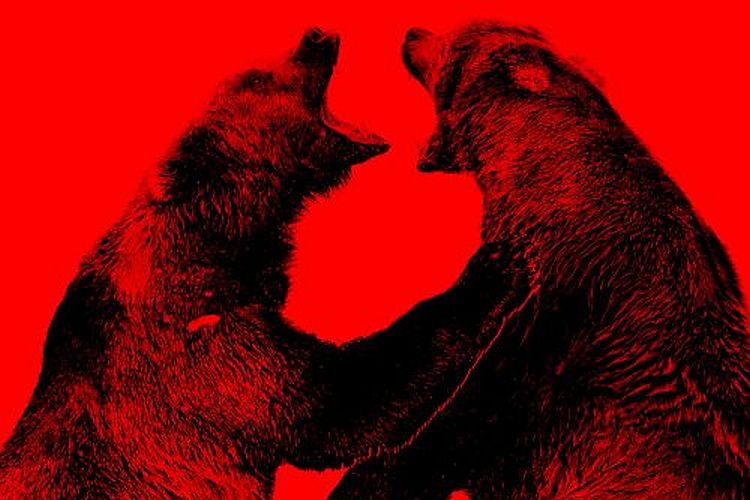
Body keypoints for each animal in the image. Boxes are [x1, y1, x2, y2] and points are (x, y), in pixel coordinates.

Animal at [0, 27, 523, 499]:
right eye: (255, 78)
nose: (315, 35)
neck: (226, 242)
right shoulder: (197, 349)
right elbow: (339, 397)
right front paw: (498, 262)